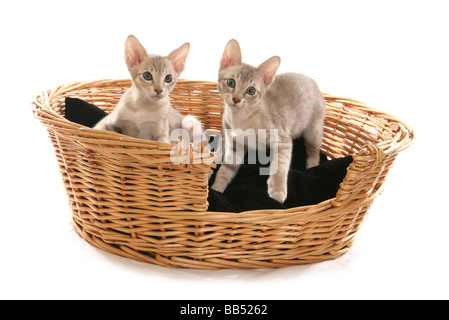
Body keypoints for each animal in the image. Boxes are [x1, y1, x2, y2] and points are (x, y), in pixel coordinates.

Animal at [210, 39, 326, 202]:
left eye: (251, 91)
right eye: (231, 83)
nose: (236, 99)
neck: (240, 119)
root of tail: (313, 81)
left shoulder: (283, 141)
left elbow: (280, 166)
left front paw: (277, 192)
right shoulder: (234, 146)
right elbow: (224, 171)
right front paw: (216, 190)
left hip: (313, 132)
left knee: (314, 152)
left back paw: (311, 167)